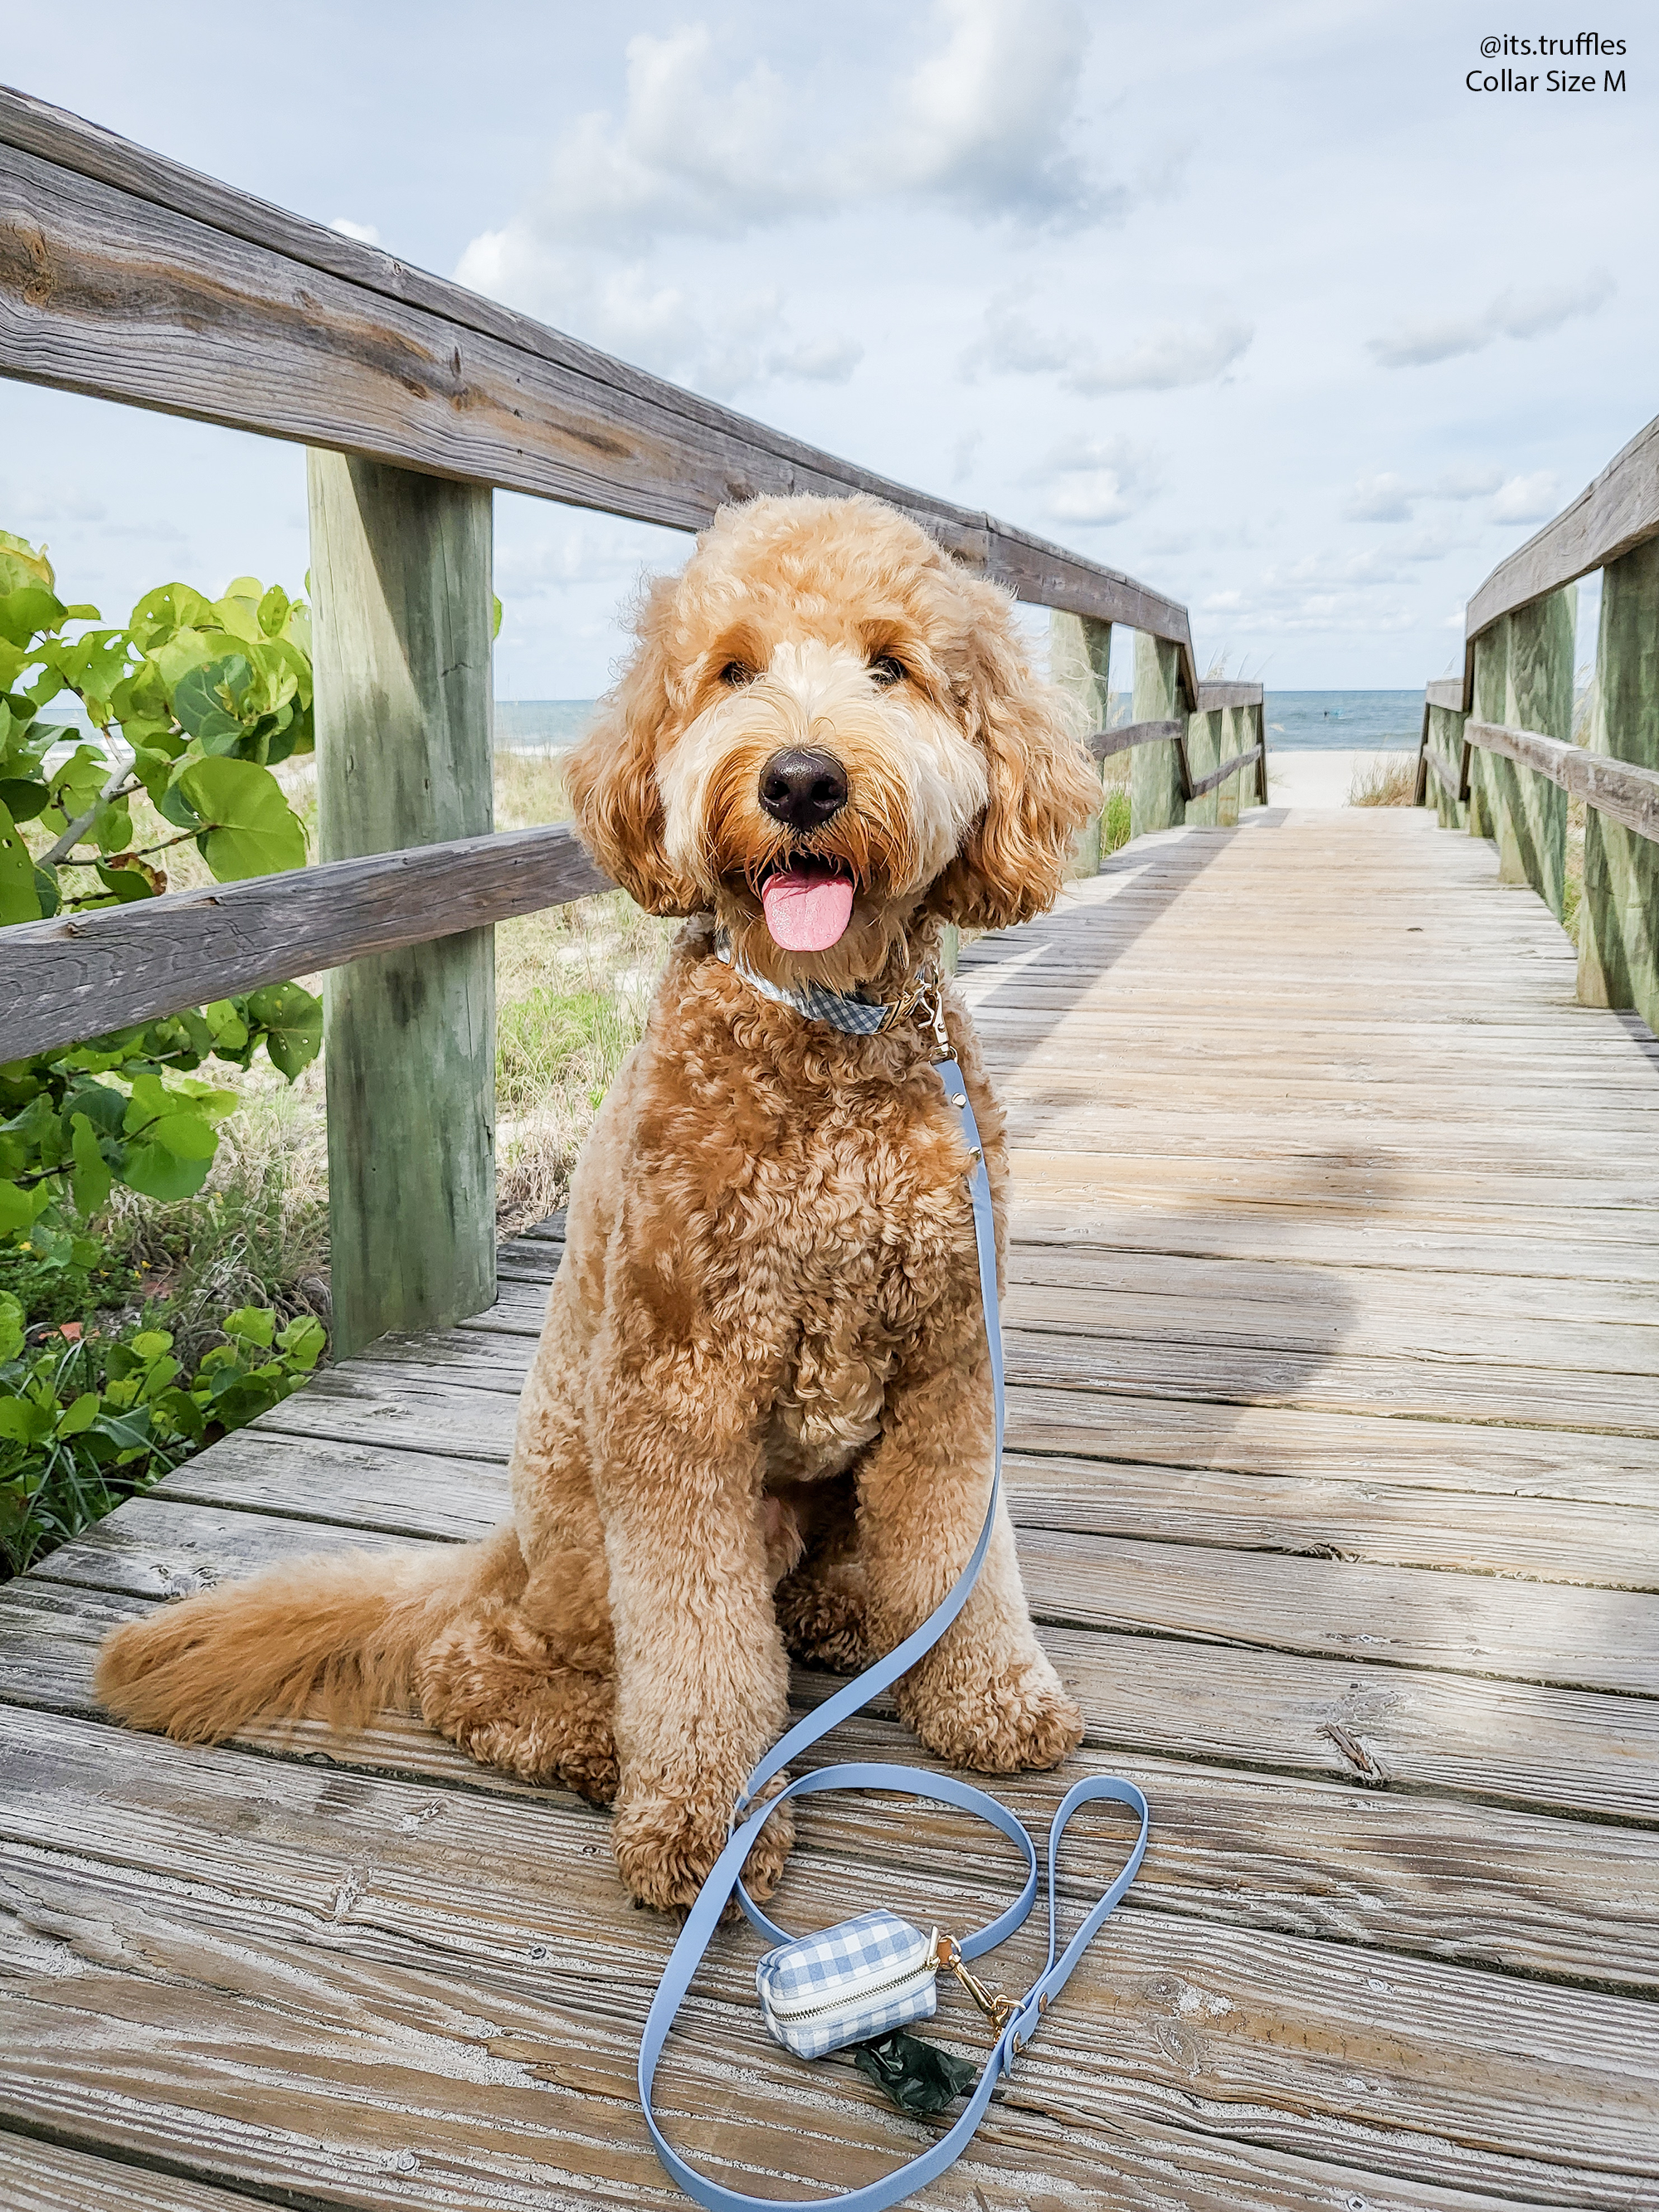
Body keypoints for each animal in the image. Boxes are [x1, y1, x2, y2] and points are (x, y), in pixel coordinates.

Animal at [94, 493, 1106, 1911]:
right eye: (731, 670)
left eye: (891, 666)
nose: (800, 780)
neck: (823, 1039)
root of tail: (507, 1549)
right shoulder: (677, 1404)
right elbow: (695, 1648)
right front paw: (704, 1820)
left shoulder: (953, 1364)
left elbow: (967, 1552)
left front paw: (991, 1697)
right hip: (581, 1527)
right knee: (479, 1662)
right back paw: (598, 1742)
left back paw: (847, 1613)